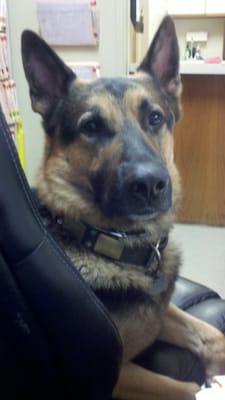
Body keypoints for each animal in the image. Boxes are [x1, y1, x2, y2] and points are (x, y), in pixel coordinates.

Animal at [21, 17, 225, 400]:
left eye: (155, 118)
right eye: (91, 127)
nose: (149, 185)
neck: (112, 243)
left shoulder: (160, 312)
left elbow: (213, 336)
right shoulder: (112, 377)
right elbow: (185, 389)